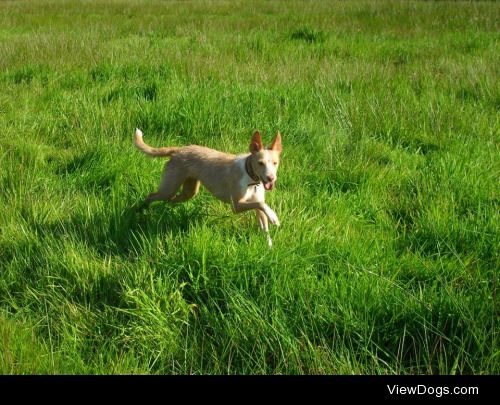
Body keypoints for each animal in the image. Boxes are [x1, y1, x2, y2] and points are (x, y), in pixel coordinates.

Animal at [133, 129, 282, 246]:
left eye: (275, 163)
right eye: (260, 163)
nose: (271, 179)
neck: (251, 177)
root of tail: (179, 150)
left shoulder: (256, 205)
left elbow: (263, 221)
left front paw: (269, 248)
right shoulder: (236, 206)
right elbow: (261, 204)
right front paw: (274, 217)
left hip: (189, 192)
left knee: (170, 200)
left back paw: (161, 210)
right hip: (169, 188)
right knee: (151, 196)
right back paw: (142, 211)